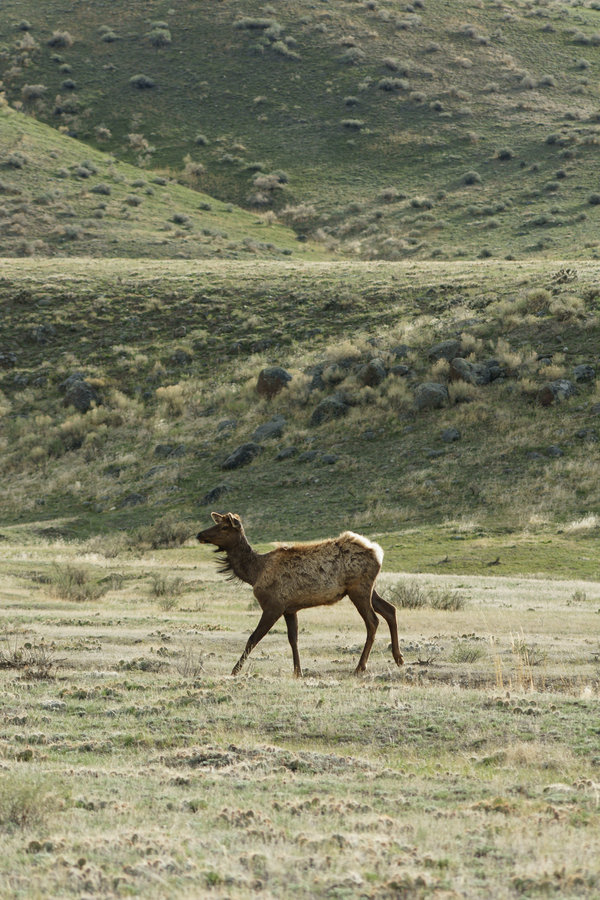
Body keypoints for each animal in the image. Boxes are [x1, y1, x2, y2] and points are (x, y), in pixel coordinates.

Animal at [196, 512, 404, 676]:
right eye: (216, 523)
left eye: (224, 527)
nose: (199, 534)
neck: (254, 573)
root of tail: (377, 552)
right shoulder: (290, 609)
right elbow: (293, 639)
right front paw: (298, 671)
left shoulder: (273, 606)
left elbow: (253, 638)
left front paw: (234, 670)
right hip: (369, 588)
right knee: (390, 609)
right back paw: (398, 658)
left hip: (358, 589)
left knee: (373, 621)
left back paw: (360, 667)